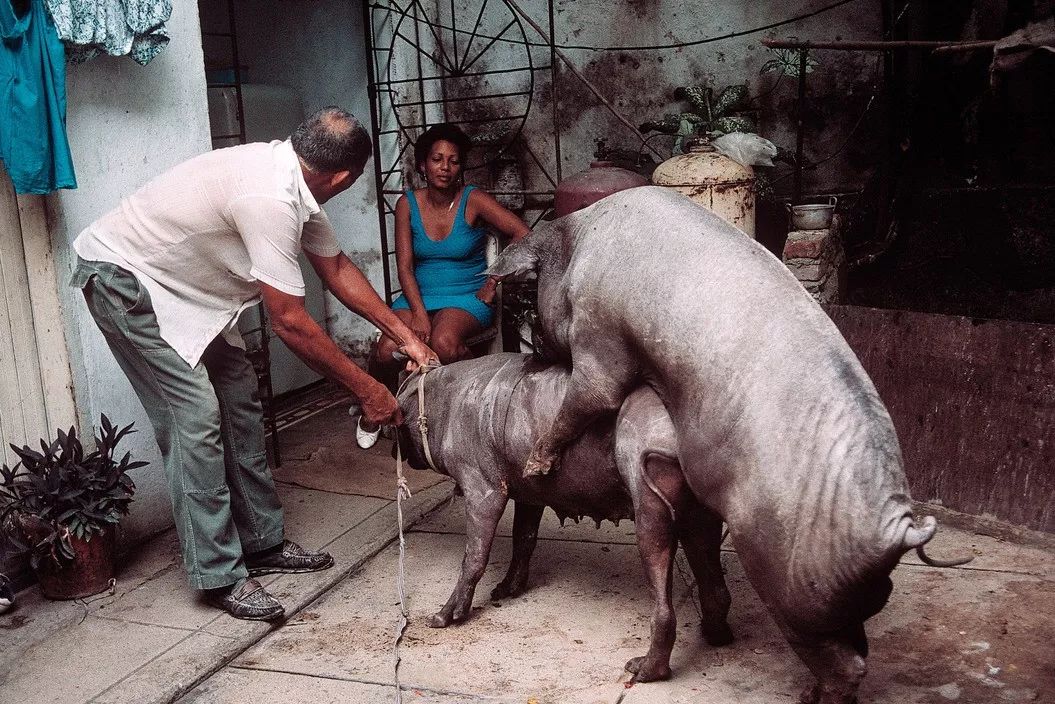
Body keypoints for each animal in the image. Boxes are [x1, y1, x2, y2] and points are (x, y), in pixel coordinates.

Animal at [396, 352, 734, 683]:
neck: (448, 404)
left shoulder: (483, 485)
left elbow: (474, 556)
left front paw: (440, 619)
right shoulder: (528, 493)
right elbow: (524, 539)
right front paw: (504, 591)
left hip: (649, 500)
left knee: (661, 588)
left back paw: (640, 670)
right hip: (699, 513)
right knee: (711, 574)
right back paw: (714, 635)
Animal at [489, 186, 962, 704]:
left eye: (534, 294)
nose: (533, 350)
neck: (579, 241)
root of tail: (896, 529)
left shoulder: (600, 338)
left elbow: (591, 395)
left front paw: (534, 468)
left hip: (788, 582)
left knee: (845, 662)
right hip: (850, 597)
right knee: (855, 642)